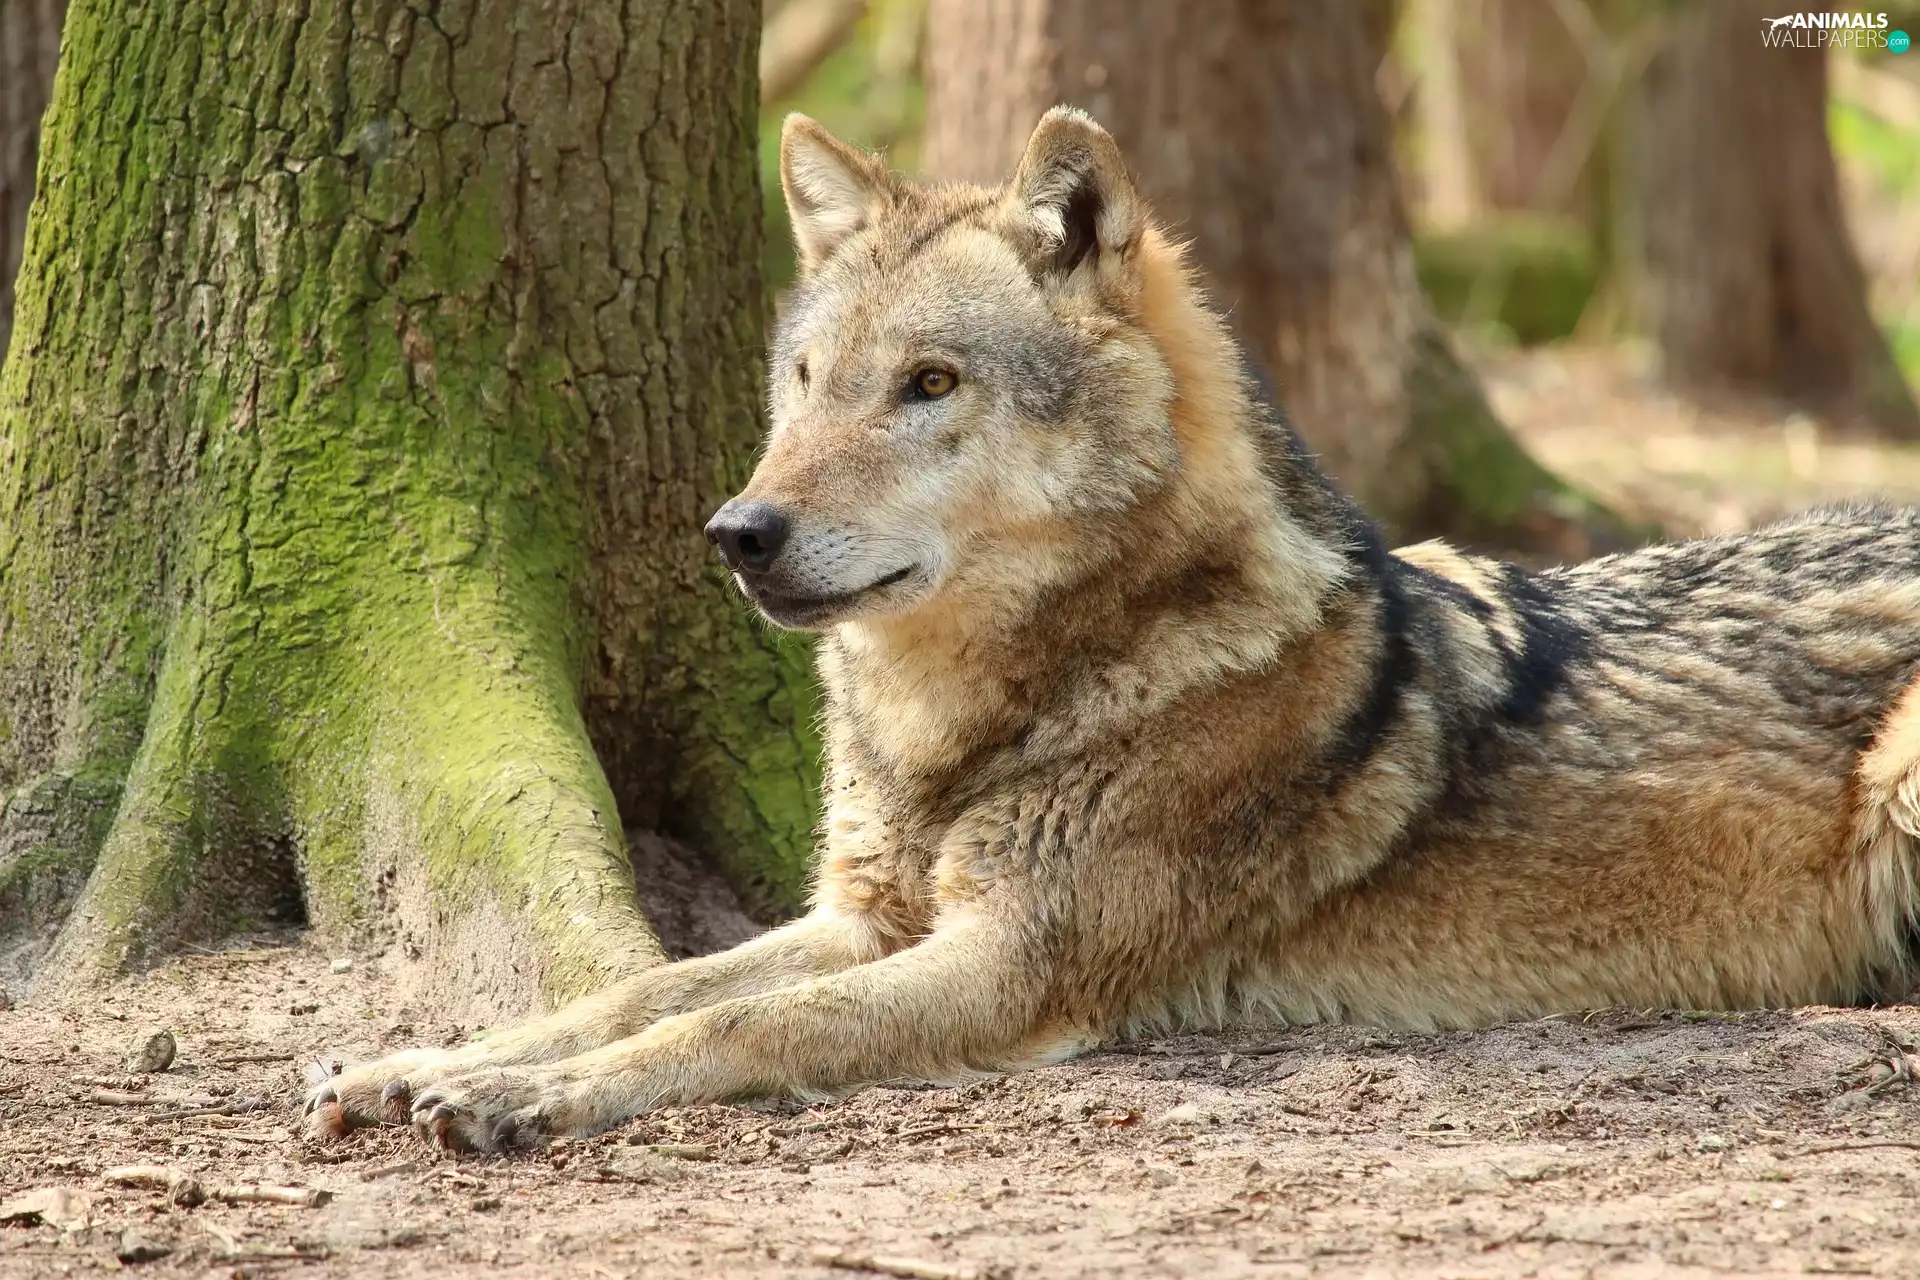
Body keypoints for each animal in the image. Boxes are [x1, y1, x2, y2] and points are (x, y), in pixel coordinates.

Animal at [308, 108, 1920, 1152]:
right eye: (809, 381)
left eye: (932, 384)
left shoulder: (1010, 964)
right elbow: (638, 984)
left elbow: (730, 1029)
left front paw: (518, 1100)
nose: (736, 534)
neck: (974, 729)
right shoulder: (859, 917)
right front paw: (426, 1058)